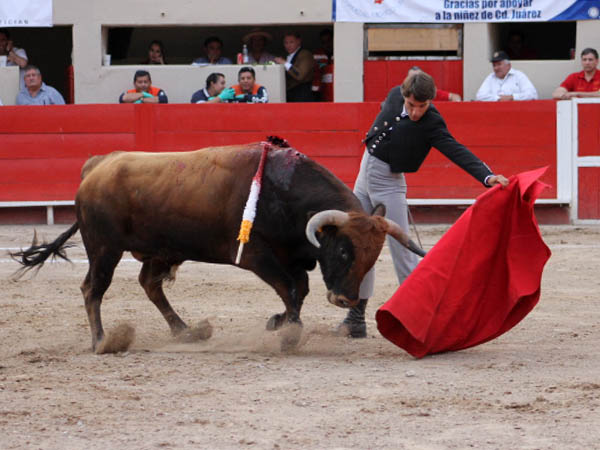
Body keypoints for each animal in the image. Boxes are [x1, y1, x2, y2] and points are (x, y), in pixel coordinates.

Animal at [11, 137, 424, 352]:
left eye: (372, 257)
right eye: (341, 250)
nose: (344, 299)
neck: (283, 191)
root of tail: (97, 165)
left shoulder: (290, 257)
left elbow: (299, 290)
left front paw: (279, 323)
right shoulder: (255, 256)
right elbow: (291, 289)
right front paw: (289, 333)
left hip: (160, 250)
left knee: (150, 285)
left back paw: (186, 330)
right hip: (104, 249)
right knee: (92, 288)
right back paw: (102, 340)